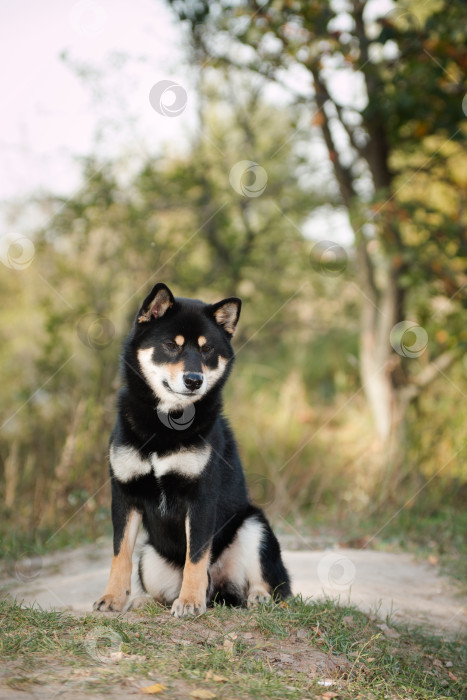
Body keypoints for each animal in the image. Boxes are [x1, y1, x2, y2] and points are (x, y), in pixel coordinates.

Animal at [93, 282, 290, 616]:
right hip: (150, 557)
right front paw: (113, 597)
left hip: (254, 527)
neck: (166, 424)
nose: (194, 380)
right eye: (171, 346)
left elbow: (196, 557)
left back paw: (256, 597)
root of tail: (219, 592)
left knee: (270, 585)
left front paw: (189, 602)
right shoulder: (124, 494)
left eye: (207, 349)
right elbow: (120, 554)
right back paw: (143, 600)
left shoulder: (200, 497)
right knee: (159, 589)